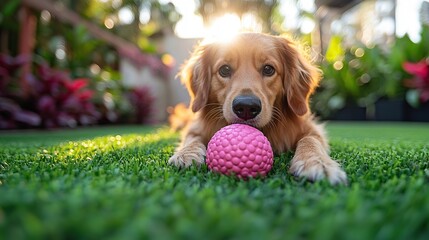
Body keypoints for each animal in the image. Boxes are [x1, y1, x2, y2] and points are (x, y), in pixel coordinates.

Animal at [169, 32, 346, 185]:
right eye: (224, 70)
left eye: (268, 69)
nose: (246, 107)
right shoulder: (196, 128)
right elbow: (192, 138)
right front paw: (186, 154)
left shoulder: (312, 129)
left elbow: (310, 141)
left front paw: (317, 163)